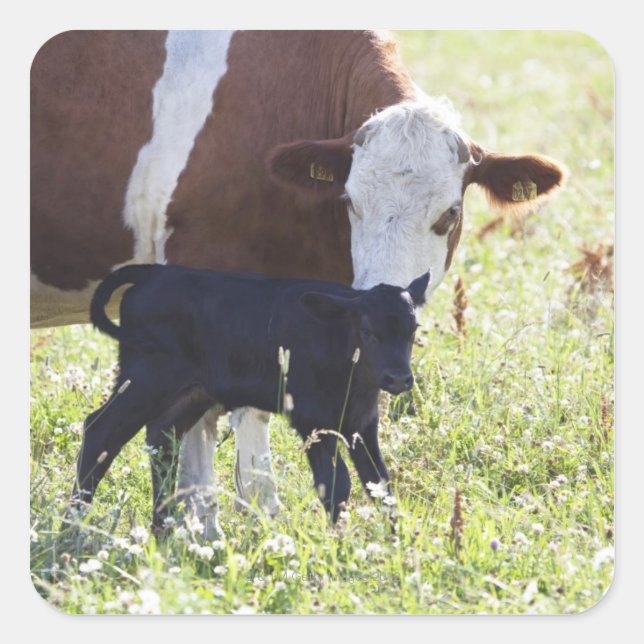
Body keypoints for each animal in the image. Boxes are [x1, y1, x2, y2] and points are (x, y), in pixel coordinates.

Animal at [74, 264, 430, 530]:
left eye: (412, 330)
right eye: (368, 332)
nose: (398, 378)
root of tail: (153, 273)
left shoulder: (361, 425)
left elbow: (379, 484)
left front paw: (394, 542)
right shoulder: (312, 420)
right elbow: (335, 485)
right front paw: (340, 544)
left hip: (191, 393)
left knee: (161, 437)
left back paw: (162, 528)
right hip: (145, 379)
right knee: (100, 432)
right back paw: (74, 524)